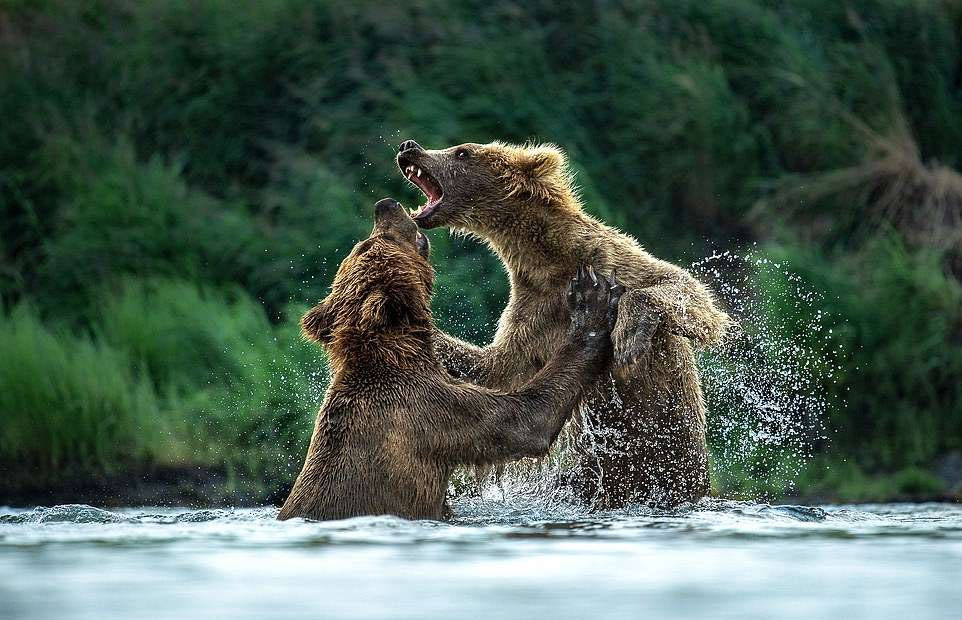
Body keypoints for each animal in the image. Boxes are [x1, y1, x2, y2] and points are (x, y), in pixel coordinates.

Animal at [278, 200, 624, 524]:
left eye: (363, 241)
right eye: (375, 240)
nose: (385, 205)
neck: (394, 357)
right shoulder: (430, 413)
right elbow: (524, 421)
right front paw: (591, 301)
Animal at [394, 140, 732, 508]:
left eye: (462, 152)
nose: (409, 146)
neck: (549, 261)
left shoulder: (614, 262)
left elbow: (686, 291)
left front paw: (629, 337)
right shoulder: (536, 313)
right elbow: (498, 368)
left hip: (671, 460)